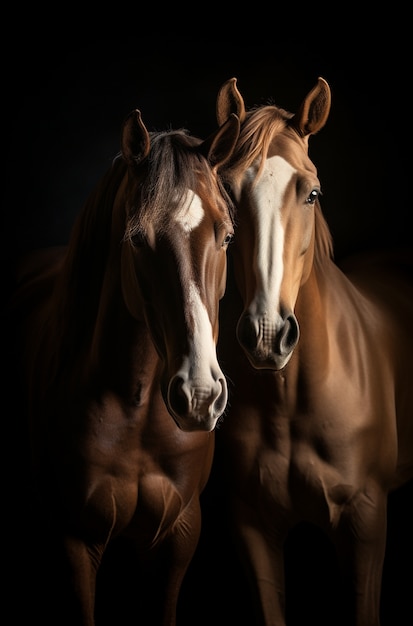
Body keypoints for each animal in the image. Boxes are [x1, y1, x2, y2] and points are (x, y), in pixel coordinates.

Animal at [8, 100, 240, 620]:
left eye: (226, 236)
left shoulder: (178, 538)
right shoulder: (73, 542)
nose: (199, 395)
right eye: (137, 239)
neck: (136, 411)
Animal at [212, 78, 412, 624]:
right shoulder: (251, 528)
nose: (266, 333)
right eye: (226, 192)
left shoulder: (365, 523)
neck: (292, 401)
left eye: (312, 193)